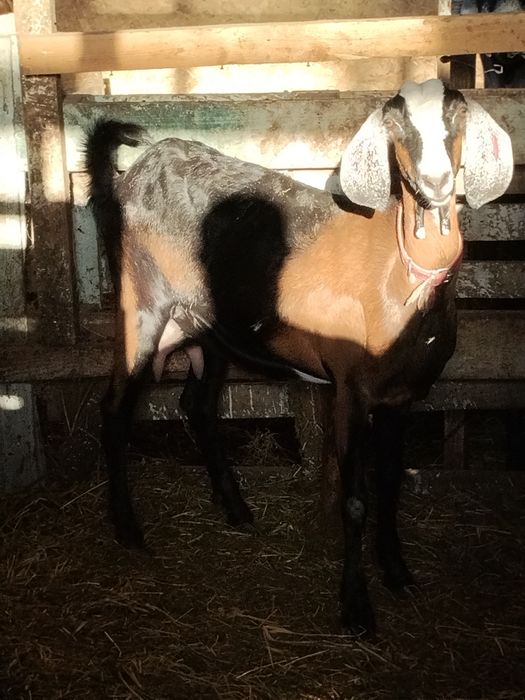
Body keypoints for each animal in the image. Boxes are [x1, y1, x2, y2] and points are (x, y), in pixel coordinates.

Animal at [85, 79, 513, 634]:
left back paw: (236, 508)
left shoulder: (402, 398)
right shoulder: (351, 388)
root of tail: (132, 175)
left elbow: (392, 482)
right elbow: (355, 500)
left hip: (211, 327)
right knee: (115, 409)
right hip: (142, 305)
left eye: (457, 114)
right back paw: (129, 530)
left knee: (197, 406)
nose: (436, 181)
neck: (402, 277)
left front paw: (398, 573)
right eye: (396, 122)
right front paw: (356, 607)